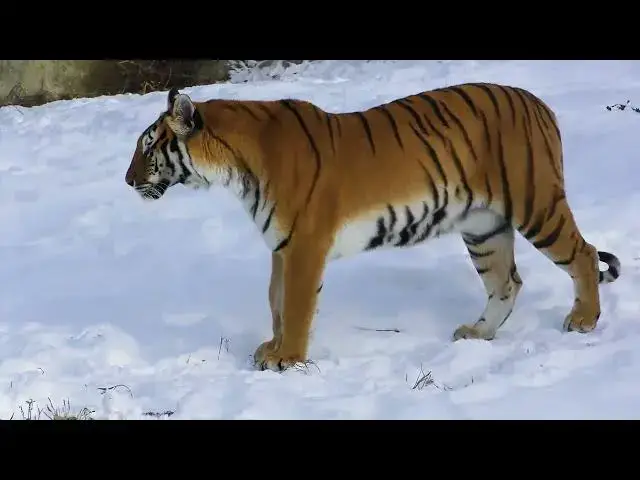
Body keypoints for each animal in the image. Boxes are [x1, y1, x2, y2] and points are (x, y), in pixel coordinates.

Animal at [124, 84, 621, 372]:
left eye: (148, 146)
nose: (127, 182)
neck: (235, 169)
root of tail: (540, 104)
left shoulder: (304, 245)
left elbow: (296, 305)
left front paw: (289, 359)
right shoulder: (280, 246)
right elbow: (276, 302)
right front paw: (273, 348)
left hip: (536, 205)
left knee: (583, 253)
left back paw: (583, 319)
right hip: (483, 227)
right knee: (507, 283)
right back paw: (478, 334)